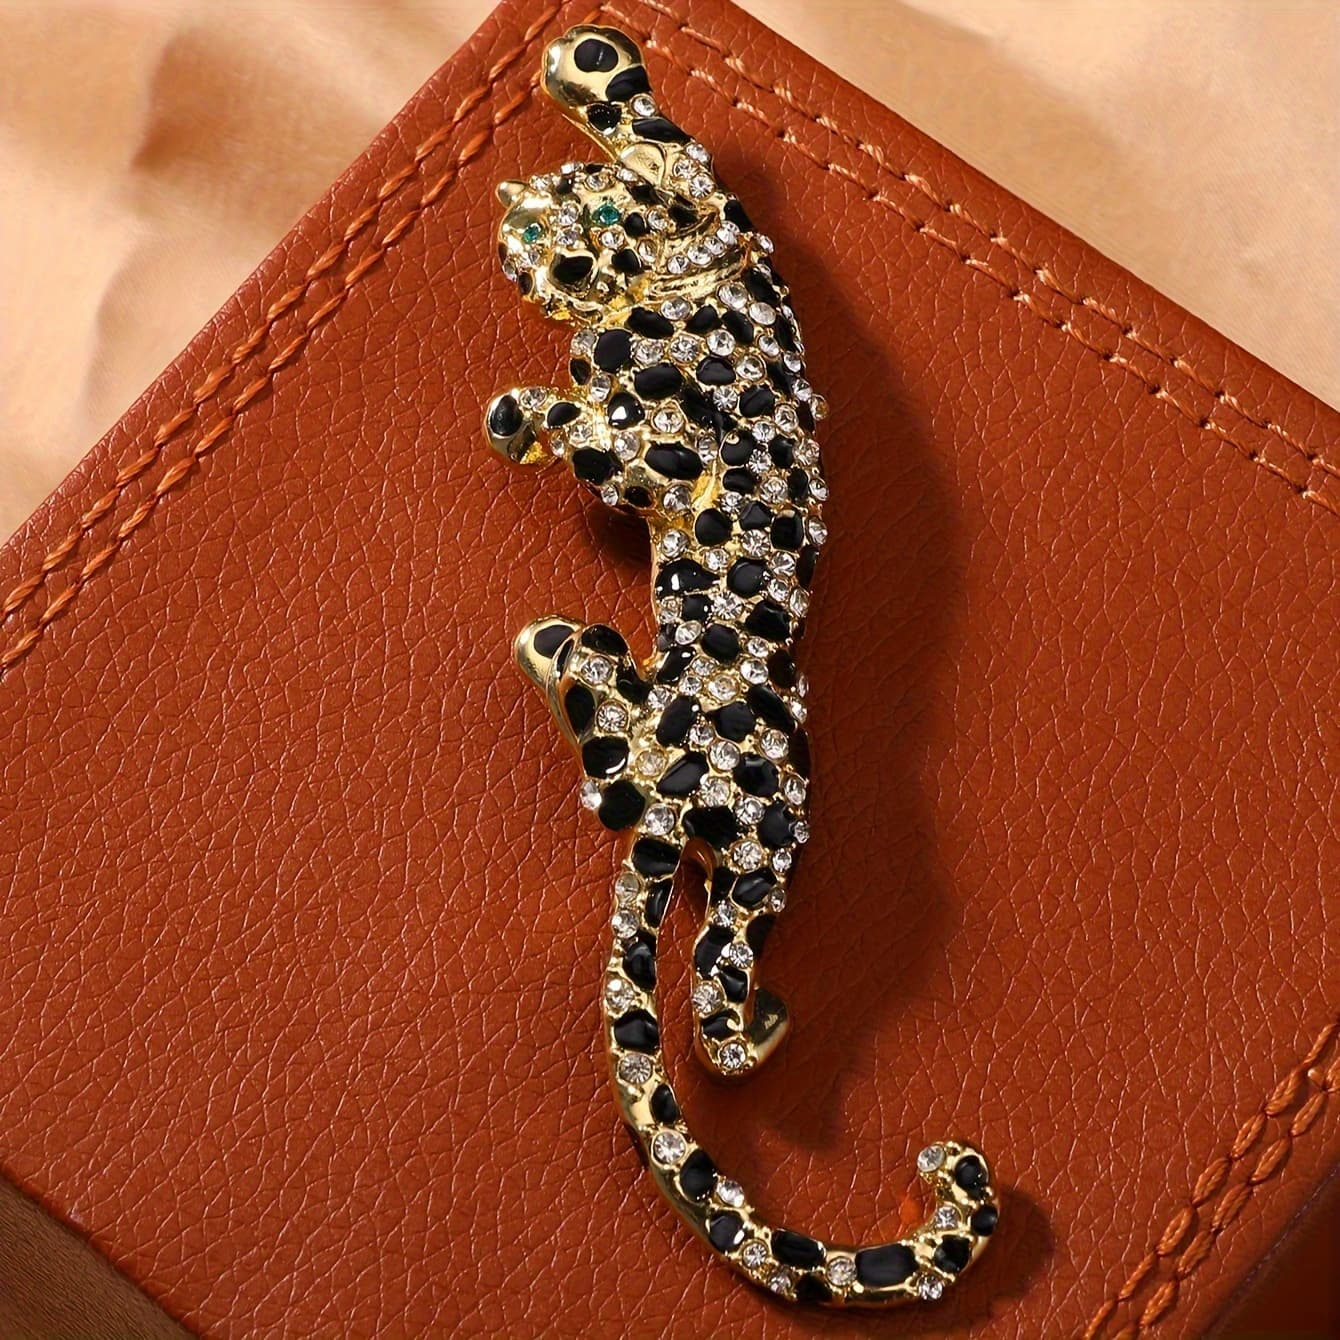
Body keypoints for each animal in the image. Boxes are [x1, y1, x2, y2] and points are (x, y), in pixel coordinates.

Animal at [483, 24, 998, 1307]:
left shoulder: (670, 438)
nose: (523, 249)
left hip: (760, 854)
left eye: (580, 224)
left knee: (717, 994)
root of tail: (667, 795)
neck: (671, 280)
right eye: (537, 212)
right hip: (673, 786)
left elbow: (607, 425)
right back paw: (577, 673)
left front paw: (593, 67)